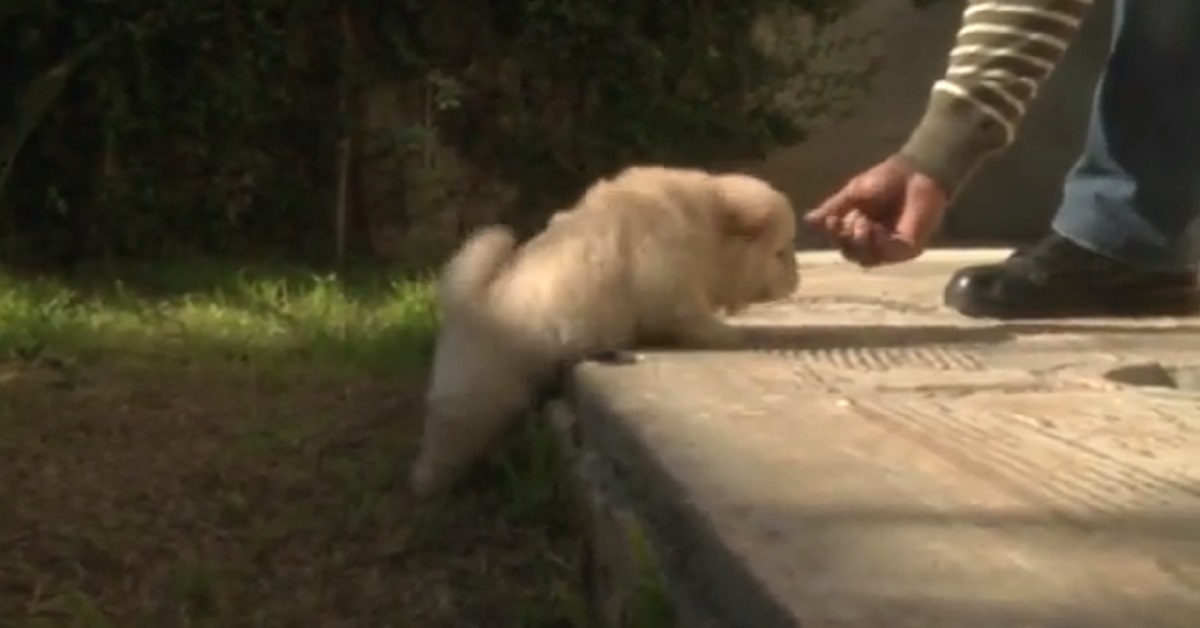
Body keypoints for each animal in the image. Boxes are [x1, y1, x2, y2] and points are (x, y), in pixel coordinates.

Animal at [410, 164, 796, 499]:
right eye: (780, 252)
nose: (796, 280)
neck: (706, 221)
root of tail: (470, 303)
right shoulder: (672, 288)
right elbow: (698, 321)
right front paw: (737, 337)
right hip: (478, 394)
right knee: (448, 439)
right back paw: (430, 488)